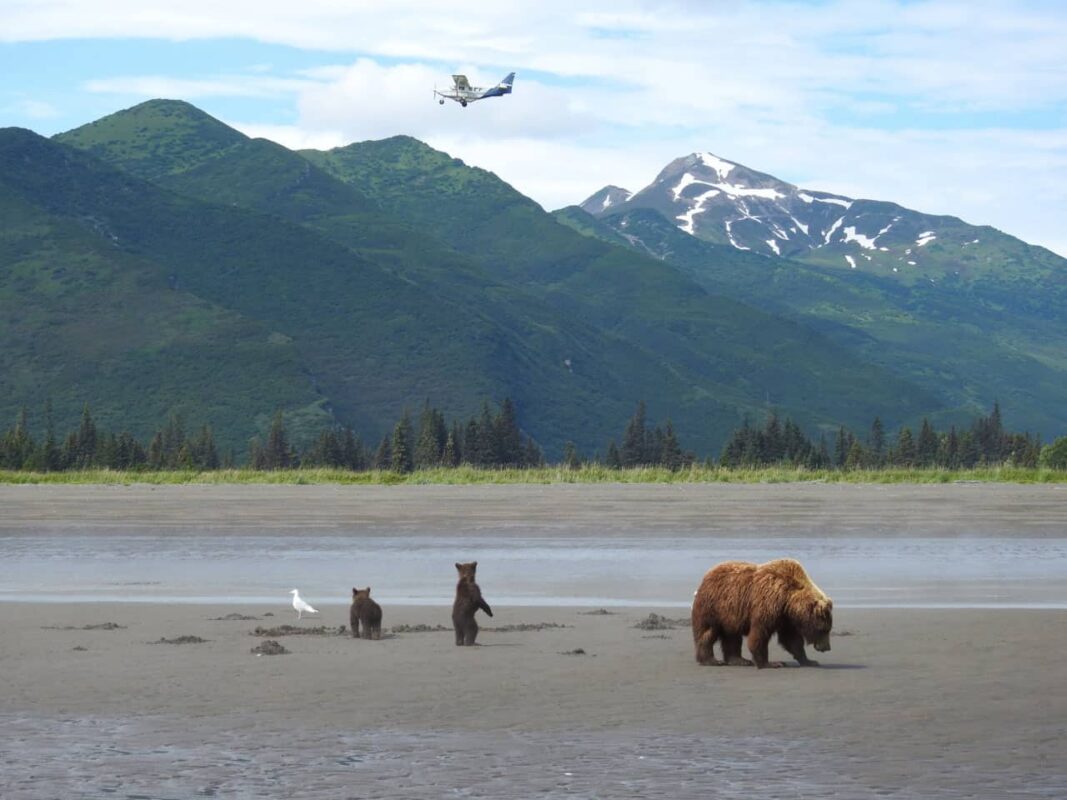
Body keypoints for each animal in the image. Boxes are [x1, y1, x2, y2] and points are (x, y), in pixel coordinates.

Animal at [691, 558, 832, 669]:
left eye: (828, 629)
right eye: (824, 629)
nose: (827, 647)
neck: (788, 599)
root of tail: (706, 576)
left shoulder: (785, 617)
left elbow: (792, 639)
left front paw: (809, 661)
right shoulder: (768, 603)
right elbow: (760, 633)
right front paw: (771, 663)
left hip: (730, 614)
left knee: (732, 636)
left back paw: (740, 660)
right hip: (713, 607)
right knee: (708, 632)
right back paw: (711, 660)